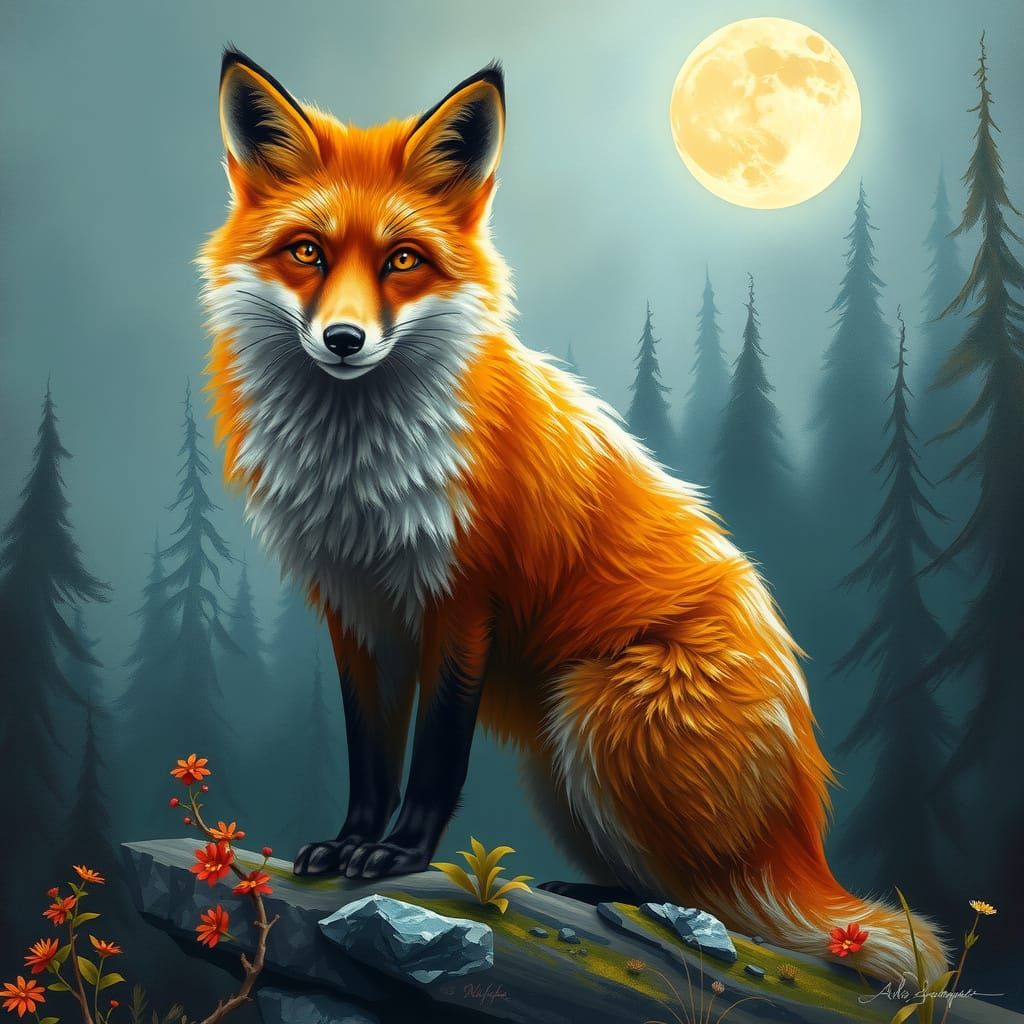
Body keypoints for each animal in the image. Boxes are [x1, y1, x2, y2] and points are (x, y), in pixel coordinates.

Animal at [200, 49, 946, 983]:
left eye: (403, 260)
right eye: (307, 251)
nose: (343, 340)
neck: (359, 471)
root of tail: (804, 832)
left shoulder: (465, 599)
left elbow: (435, 758)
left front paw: (398, 856)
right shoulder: (353, 607)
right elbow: (370, 759)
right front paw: (349, 843)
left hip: (593, 714)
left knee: (726, 907)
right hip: (559, 767)